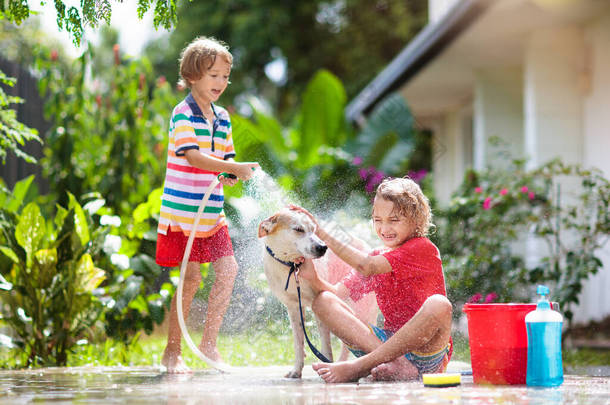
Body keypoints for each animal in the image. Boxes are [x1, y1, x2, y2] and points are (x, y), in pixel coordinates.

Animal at [256, 210, 376, 378]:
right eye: (298, 229)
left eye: (314, 229)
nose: (323, 247)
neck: (291, 267)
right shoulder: (293, 308)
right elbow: (298, 343)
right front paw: (296, 370)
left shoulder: (317, 302)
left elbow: (326, 345)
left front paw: (327, 365)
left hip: (361, 310)